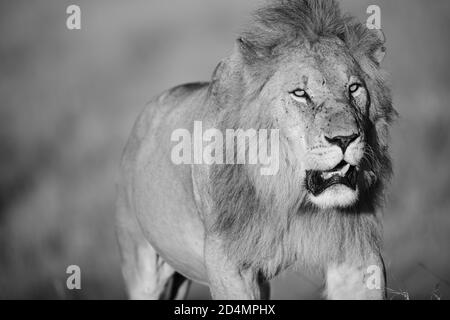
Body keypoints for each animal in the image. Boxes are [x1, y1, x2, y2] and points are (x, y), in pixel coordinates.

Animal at [117, 0, 398, 300]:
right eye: (300, 93)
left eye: (354, 88)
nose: (345, 139)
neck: (288, 196)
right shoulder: (229, 262)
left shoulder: (357, 250)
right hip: (142, 264)